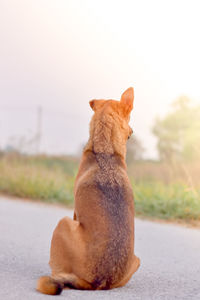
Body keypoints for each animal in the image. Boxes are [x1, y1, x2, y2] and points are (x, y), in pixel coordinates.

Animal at [37, 87, 141, 296]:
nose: (133, 131)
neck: (106, 151)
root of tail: (98, 282)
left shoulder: (75, 213)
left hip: (63, 223)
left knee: (58, 272)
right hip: (137, 261)